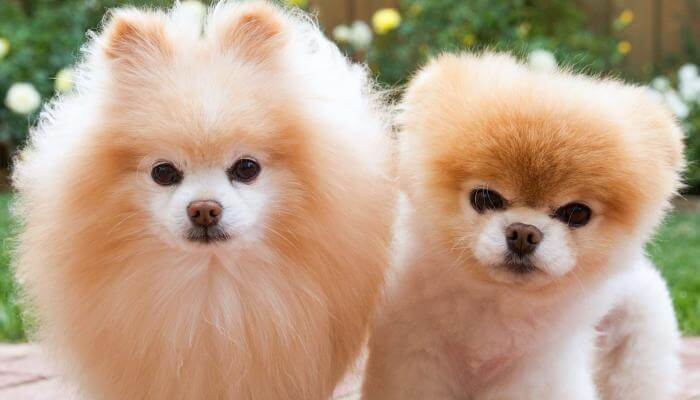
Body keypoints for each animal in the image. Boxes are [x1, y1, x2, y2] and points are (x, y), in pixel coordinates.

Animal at [364, 54, 688, 400]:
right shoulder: (417, 356)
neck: (498, 304)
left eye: (577, 213)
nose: (523, 233)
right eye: (484, 198)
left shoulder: (535, 375)